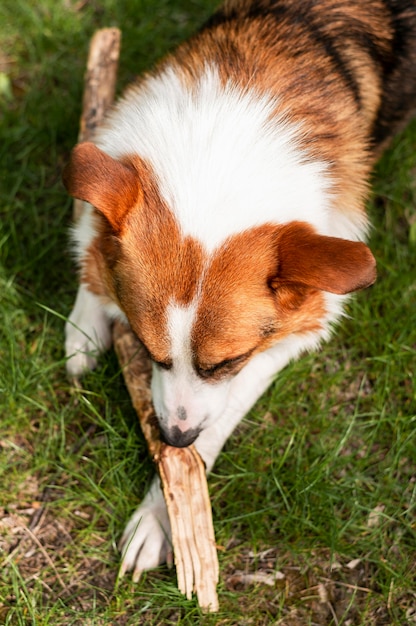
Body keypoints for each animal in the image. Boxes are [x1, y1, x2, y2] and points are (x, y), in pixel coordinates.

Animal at [62, 0, 416, 576]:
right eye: (148, 352)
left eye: (228, 362)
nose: (174, 436)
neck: (223, 151)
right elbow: (89, 240)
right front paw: (84, 325)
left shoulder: (280, 342)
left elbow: (211, 432)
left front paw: (162, 516)